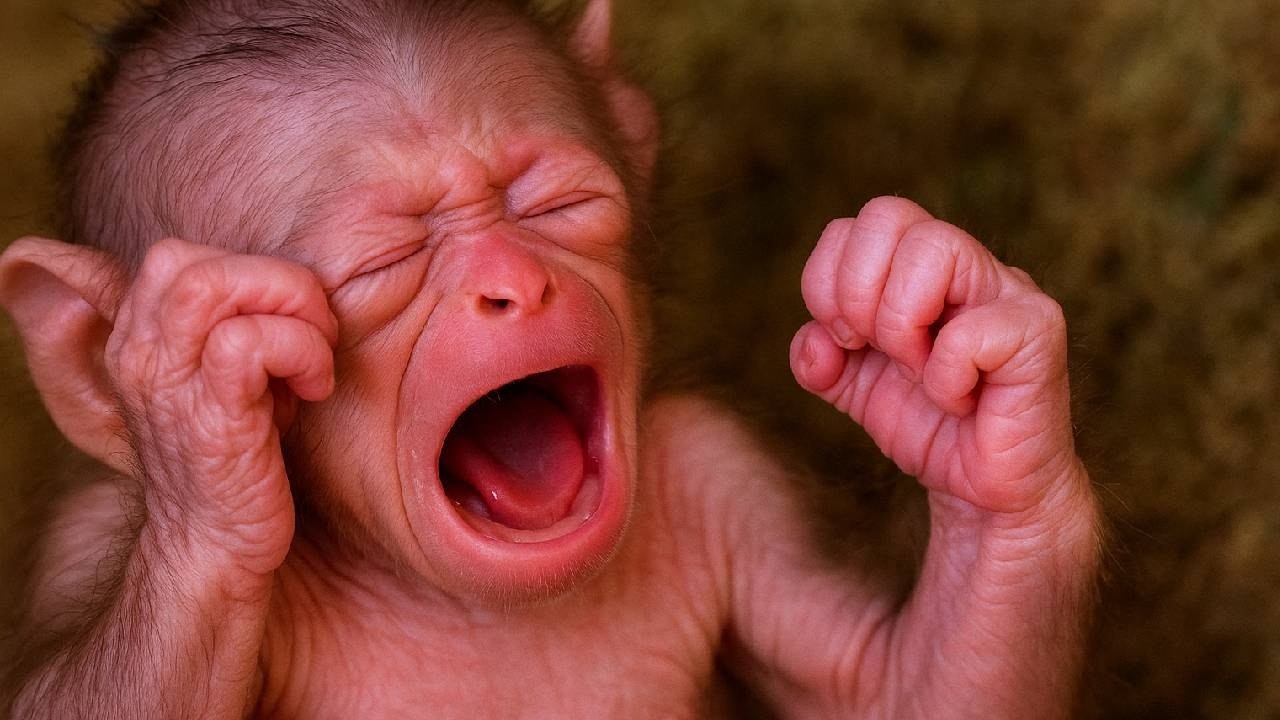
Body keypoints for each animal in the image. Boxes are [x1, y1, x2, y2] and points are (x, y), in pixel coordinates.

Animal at [0, 0, 1100, 717]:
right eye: (378, 265)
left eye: (555, 203)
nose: (510, 284)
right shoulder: (84, 541)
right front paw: (201, 414)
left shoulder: (720, 472)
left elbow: (883, 689)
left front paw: (958, 378)